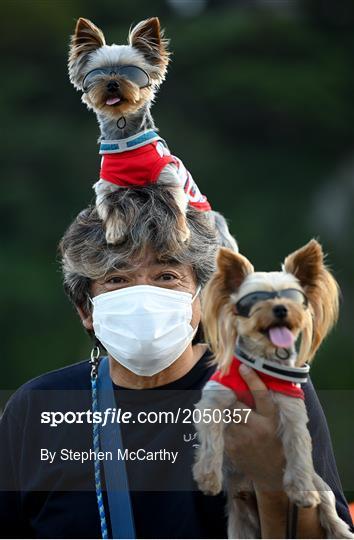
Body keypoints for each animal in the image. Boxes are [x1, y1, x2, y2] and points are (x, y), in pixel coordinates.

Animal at [68, 16, 210, 245]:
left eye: (131, 72)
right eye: (97, 74)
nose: (112, 83)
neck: (125, 137)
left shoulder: (167, 179)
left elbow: (175, 206)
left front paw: (180, 235)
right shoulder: (108, 188)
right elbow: (112, 211)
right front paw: (115, 235)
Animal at [194, 242, 354, 540]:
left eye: (293, 297)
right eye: (255, 300)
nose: (280, 308)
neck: (262, 364)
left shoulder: (292, 410)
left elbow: (298, 445)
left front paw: (301, 490)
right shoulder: (214, 400)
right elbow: (212, 439)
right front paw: (208, 476)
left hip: (321, 484)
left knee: (328, 508)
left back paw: (339, 529)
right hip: (239, 523)